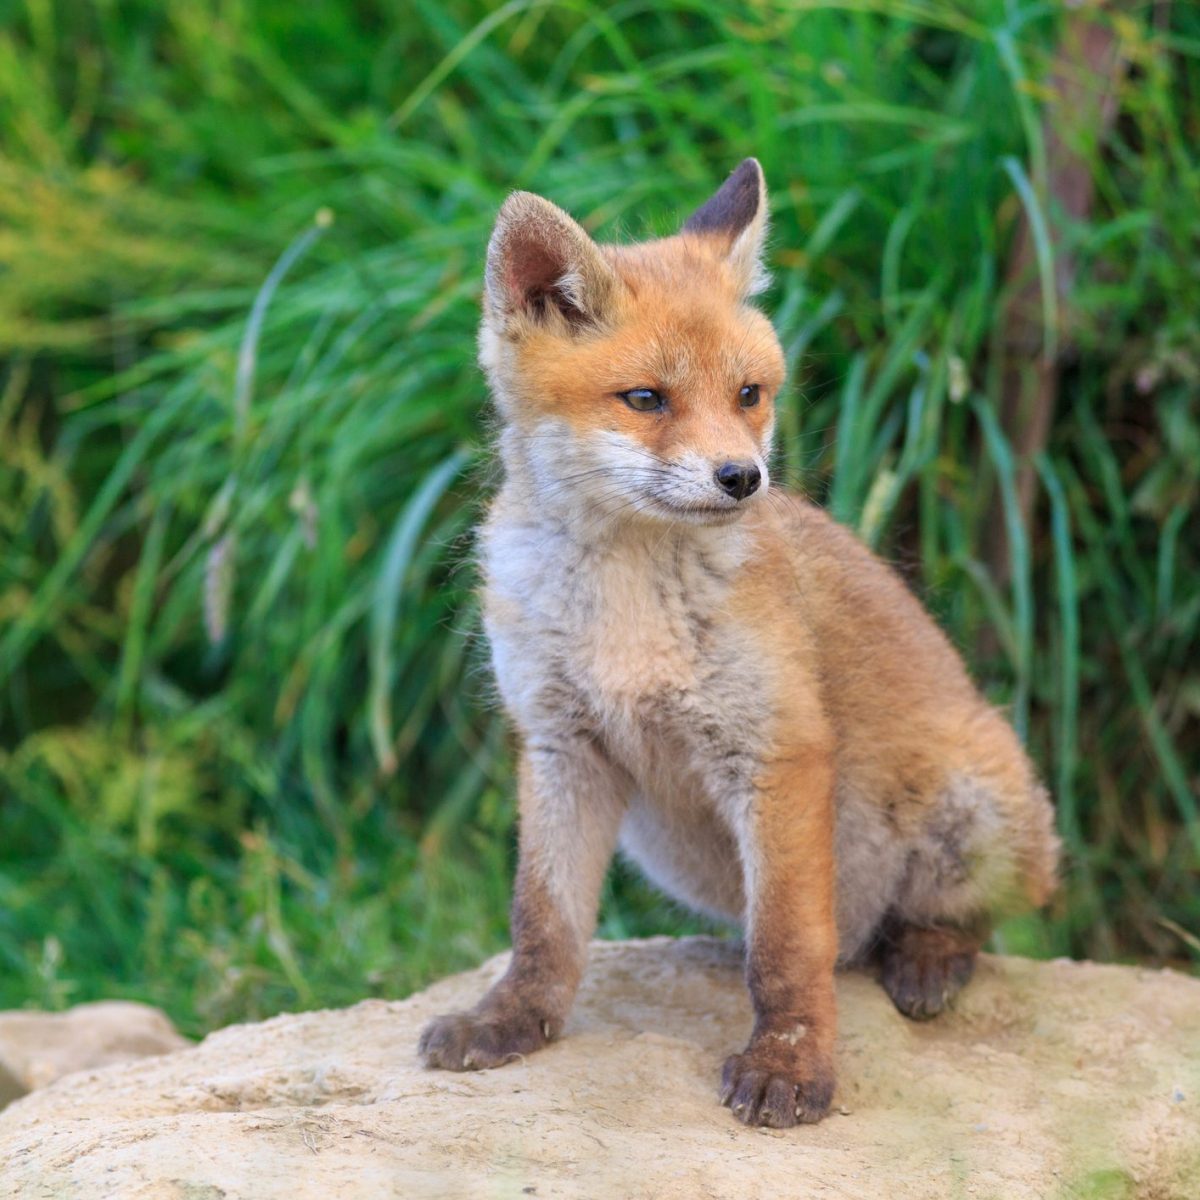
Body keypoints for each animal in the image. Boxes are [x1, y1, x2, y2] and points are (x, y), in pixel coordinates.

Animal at [418, 159, 1060, 1128]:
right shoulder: (561, 746)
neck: (628, 611)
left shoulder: (776, 750)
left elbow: (785, 946)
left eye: (749, 395)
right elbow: (544, 923)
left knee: (958, 924)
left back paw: (926, 955)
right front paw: (512, 1020)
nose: (743, 478)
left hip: (975, 804)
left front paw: (789, 1064)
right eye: (647, 398)